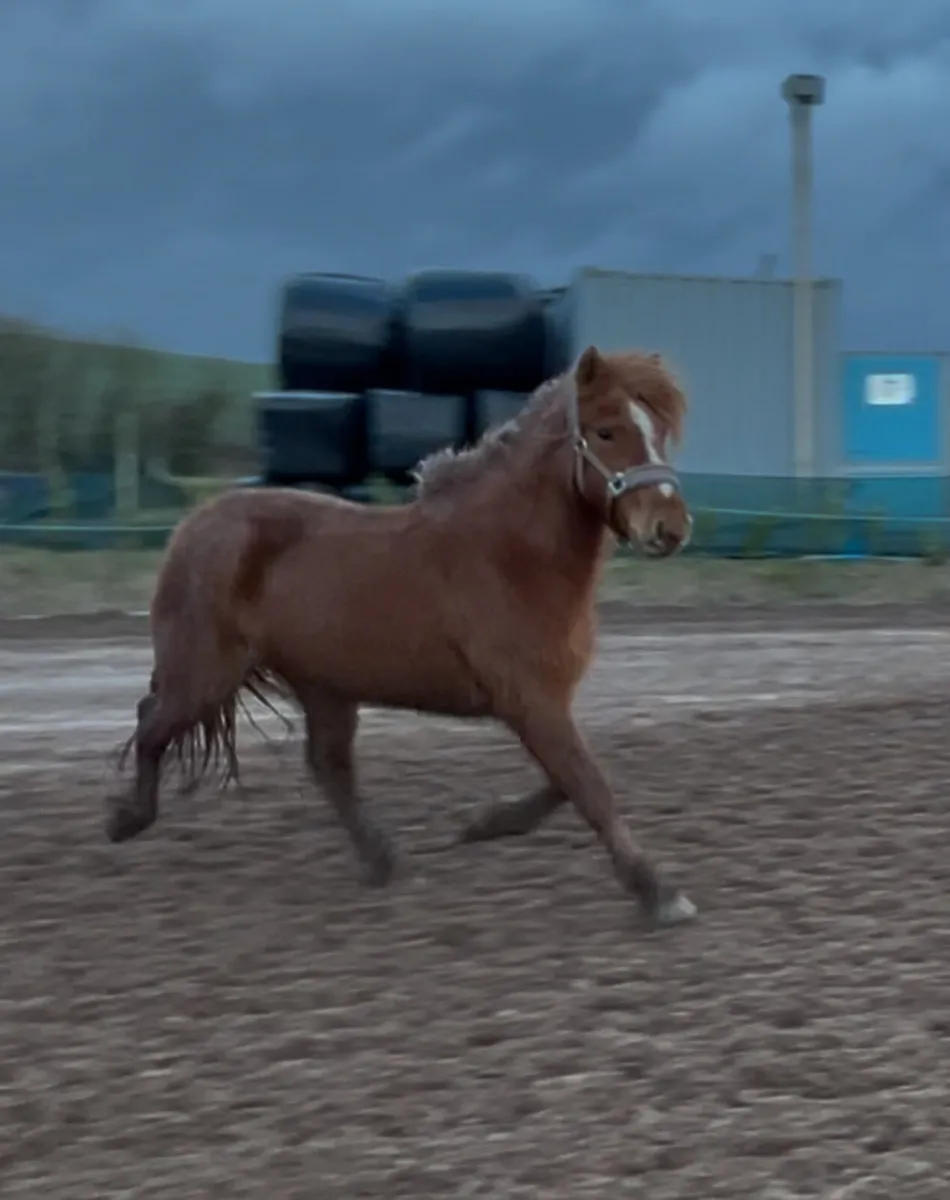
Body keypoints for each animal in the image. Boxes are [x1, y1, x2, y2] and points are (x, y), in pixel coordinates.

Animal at [107, 344, 697, 928]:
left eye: (660, 431)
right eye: (606, 431)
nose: (670, 529)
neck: (511, 557)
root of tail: (194, 525)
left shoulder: (545, 705)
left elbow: (571, 780)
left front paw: (484, 823)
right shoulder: (530, 702)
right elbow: (588, 786)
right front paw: (661, 895)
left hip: (324, 686)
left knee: (328, 767)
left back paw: (383, 861)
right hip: (206, 672)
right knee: (152, 721)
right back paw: (126, 820)